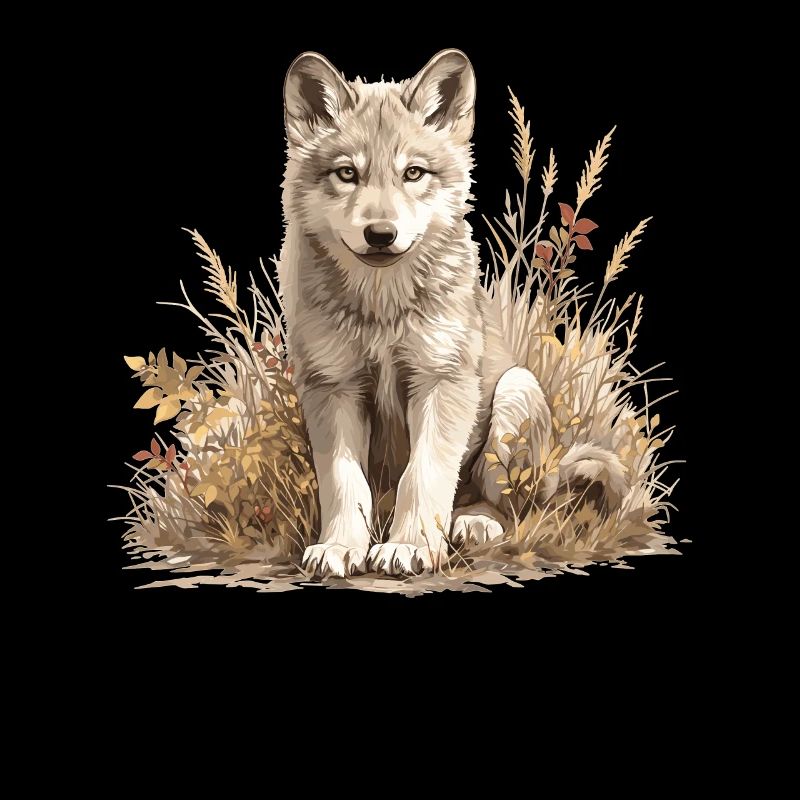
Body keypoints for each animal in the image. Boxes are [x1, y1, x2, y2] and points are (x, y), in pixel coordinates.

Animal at [279, 49, 627, 577]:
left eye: (413, 173)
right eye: (347, 174)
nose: (380, 234)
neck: (382, 309)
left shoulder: (442, 381)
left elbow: (423, 475)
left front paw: (409, 547)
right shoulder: (332, 387)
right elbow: (343, 482)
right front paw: (340, 547)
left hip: (515, 393)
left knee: (510, 508)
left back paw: (474, 523)